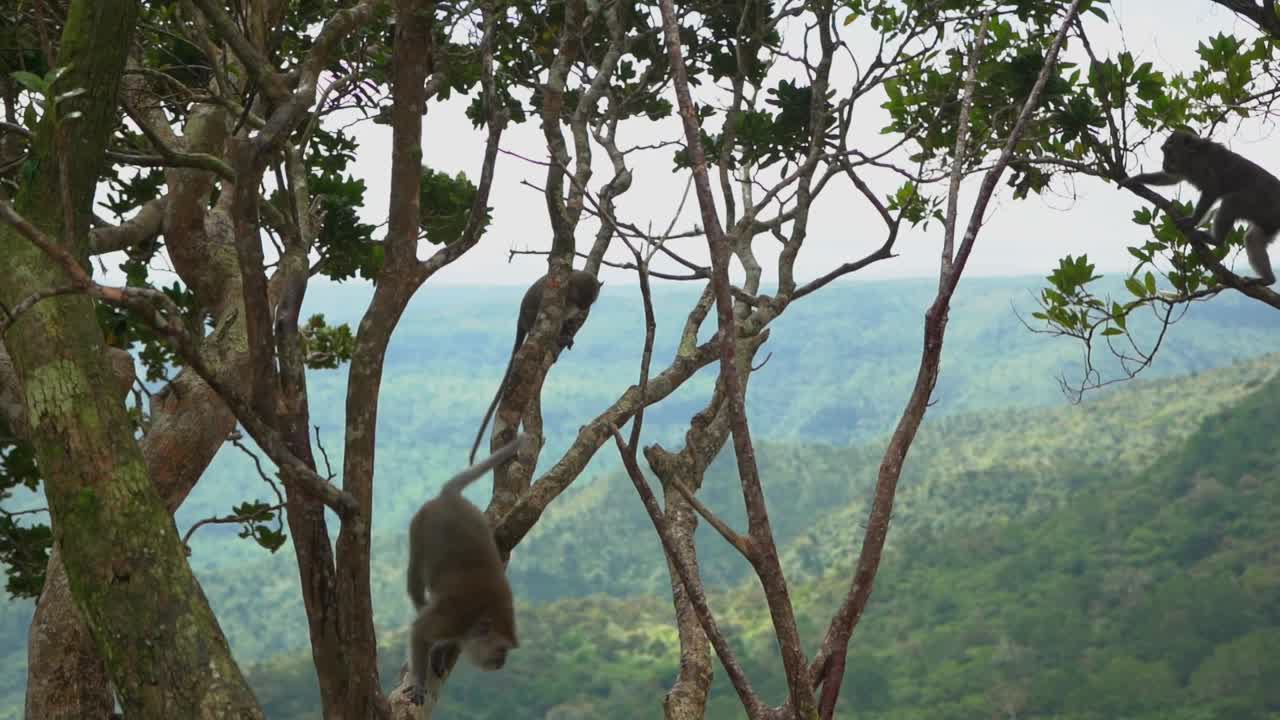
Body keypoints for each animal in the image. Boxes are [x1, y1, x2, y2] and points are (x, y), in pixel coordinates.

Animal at [404, 432, 532, 704]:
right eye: (501, 649)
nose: (502, 662)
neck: (481, 615)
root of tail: (448, 499)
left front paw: (442, 649)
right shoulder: (454, 616)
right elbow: (420, 630)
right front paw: (419, 681)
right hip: (418, 524)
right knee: (415, 582)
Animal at [468, 269, 602, 464]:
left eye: (591, 299)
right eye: (580, 296)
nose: (584, 306)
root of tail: (521, 318)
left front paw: (569, 329)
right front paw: (561, 336)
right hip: (533, 318)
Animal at [1120, 129, 1280, 285]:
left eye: (1169, 152)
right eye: (1164, 151)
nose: (1164, 165)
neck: (1192, 155)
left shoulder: (1202, 166)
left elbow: (1212, 189)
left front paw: (1192, 221)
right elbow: (1171, 178)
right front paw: (1136, 179)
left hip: (1261, 203)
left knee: (1231, 202)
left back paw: (1215, 240)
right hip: (1268, 222)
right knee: (1253, 239)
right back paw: (1268, 280)